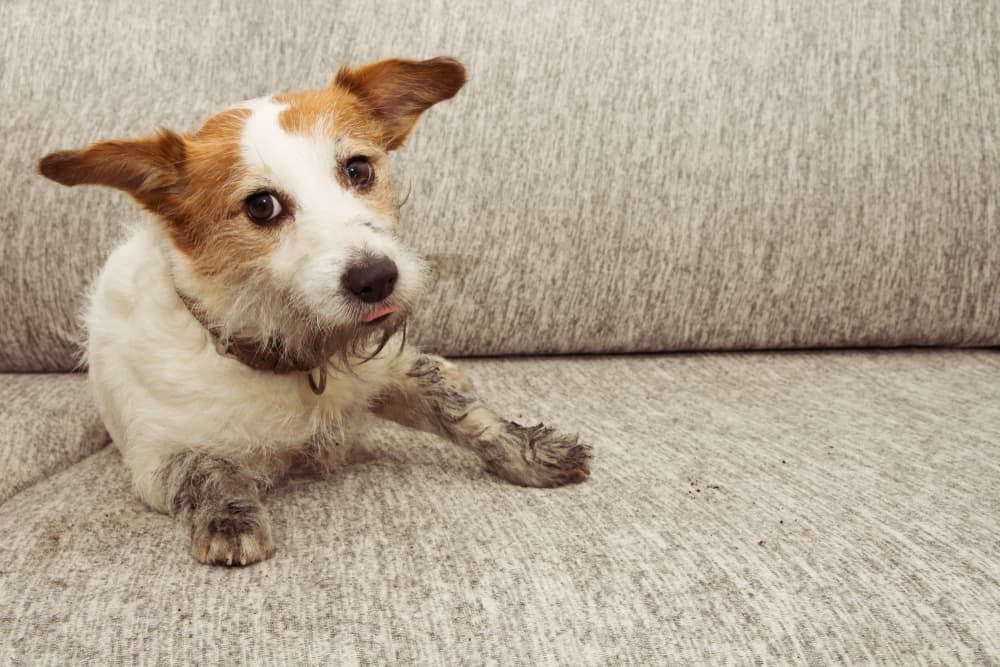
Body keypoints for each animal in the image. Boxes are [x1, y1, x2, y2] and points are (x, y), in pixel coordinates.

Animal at [39, 58, 588, 568]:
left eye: (359, 169)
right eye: (261, 206)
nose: (377, 278)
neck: (294, 357)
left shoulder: (388, 370)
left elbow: (462, 413)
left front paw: (531, 452)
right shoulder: (156, 457)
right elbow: (204, 470)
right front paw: (231, 520)